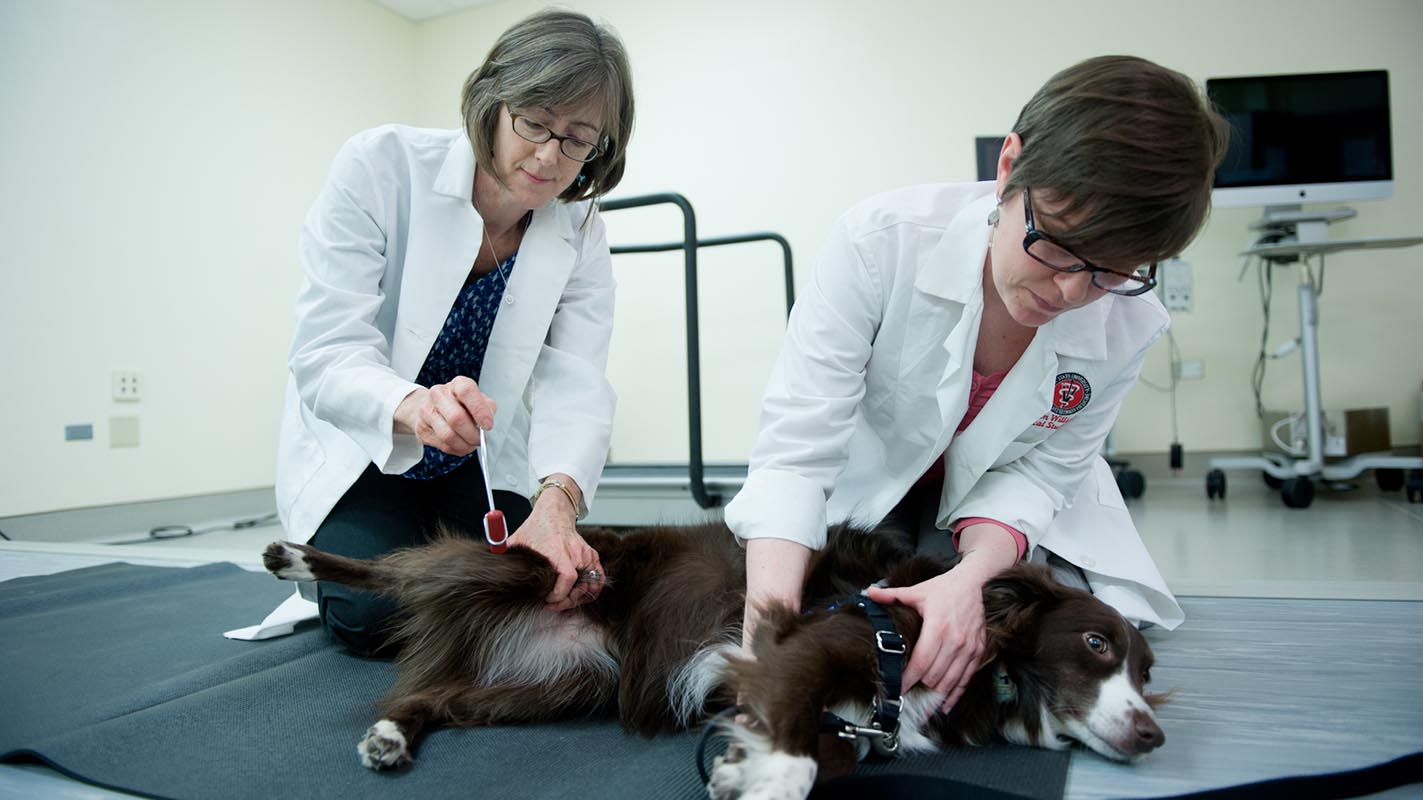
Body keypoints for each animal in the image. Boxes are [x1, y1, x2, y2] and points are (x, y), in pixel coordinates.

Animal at [261, 518, 1161, 791]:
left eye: (1148, 674)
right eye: (1094, 643)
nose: (1154, 735)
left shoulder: (851, 713)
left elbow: (820, 748)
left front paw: (740, 764)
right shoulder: (802, 649)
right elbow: (800, 757)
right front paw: (761, 780)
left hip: (560, 687)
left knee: (430, 701)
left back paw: (392, 736)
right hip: (529, 565)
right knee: (400, 570)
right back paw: (297, 558)